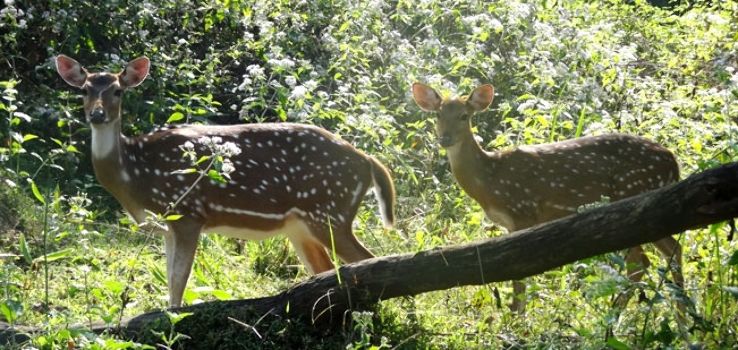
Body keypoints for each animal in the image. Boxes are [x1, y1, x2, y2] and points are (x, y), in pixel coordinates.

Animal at [56, 54, 396, 306]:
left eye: (118, 90)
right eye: (84, 90)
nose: (97, 115)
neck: (134, 177)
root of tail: (368, 161)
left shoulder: (189, 212)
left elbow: (178, 286)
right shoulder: (167, 225)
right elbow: (170, 281)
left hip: (330, 210)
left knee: (372, 260)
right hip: (302, 224)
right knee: (327, 270)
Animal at [412, 82, 680, 312]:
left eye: (464, 116)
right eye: (438, 115)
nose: (445, 138)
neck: (489, 180)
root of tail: (673, 162)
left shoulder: (523, 212)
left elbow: (518, 279)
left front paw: (516, 322)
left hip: (631, 197)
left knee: (641, 262)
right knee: (669, 251)